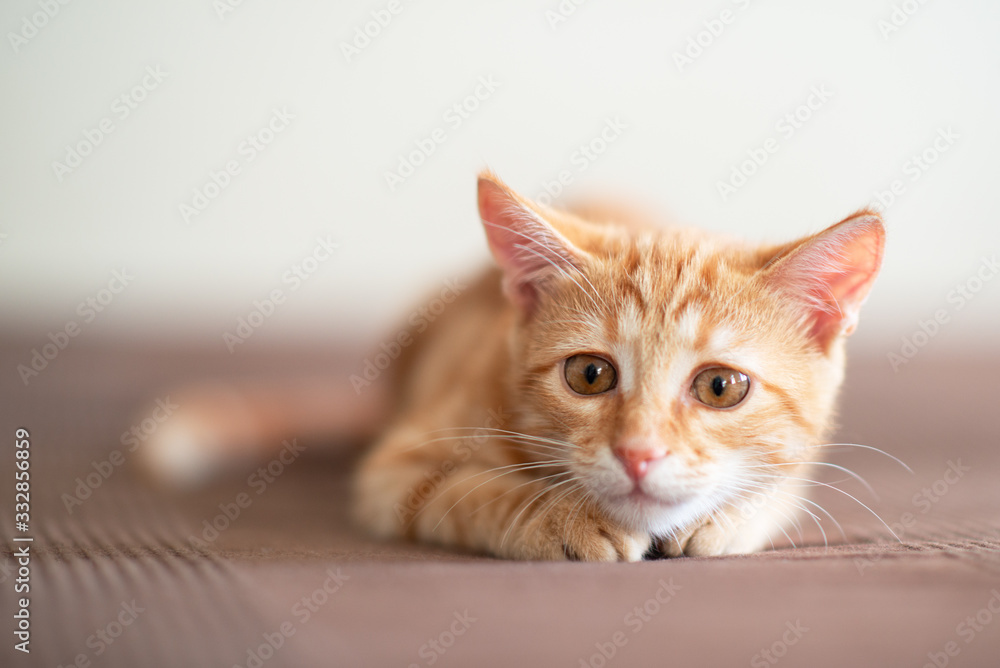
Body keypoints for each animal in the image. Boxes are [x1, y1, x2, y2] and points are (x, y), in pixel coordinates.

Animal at [352, 171, 884, 560]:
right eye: (590, 375)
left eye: (720, 386)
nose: (638, 454)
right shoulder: (393, 472)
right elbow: (478, 493)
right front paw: (568, 517)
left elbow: (782, 486)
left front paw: (728, 517)